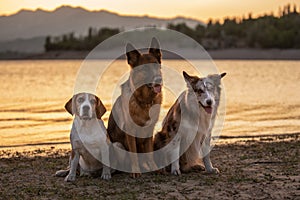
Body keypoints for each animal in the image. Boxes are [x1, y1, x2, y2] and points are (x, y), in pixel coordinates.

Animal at [107, 37, 163, 178]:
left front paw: (154, 168)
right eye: (145, 68)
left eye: (156, 65)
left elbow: (150, 154)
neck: (144, 101)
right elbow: (133, 155)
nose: (159, 80)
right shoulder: (130, 132)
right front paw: (136, 171)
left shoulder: (149, 132)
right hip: (118, 145)